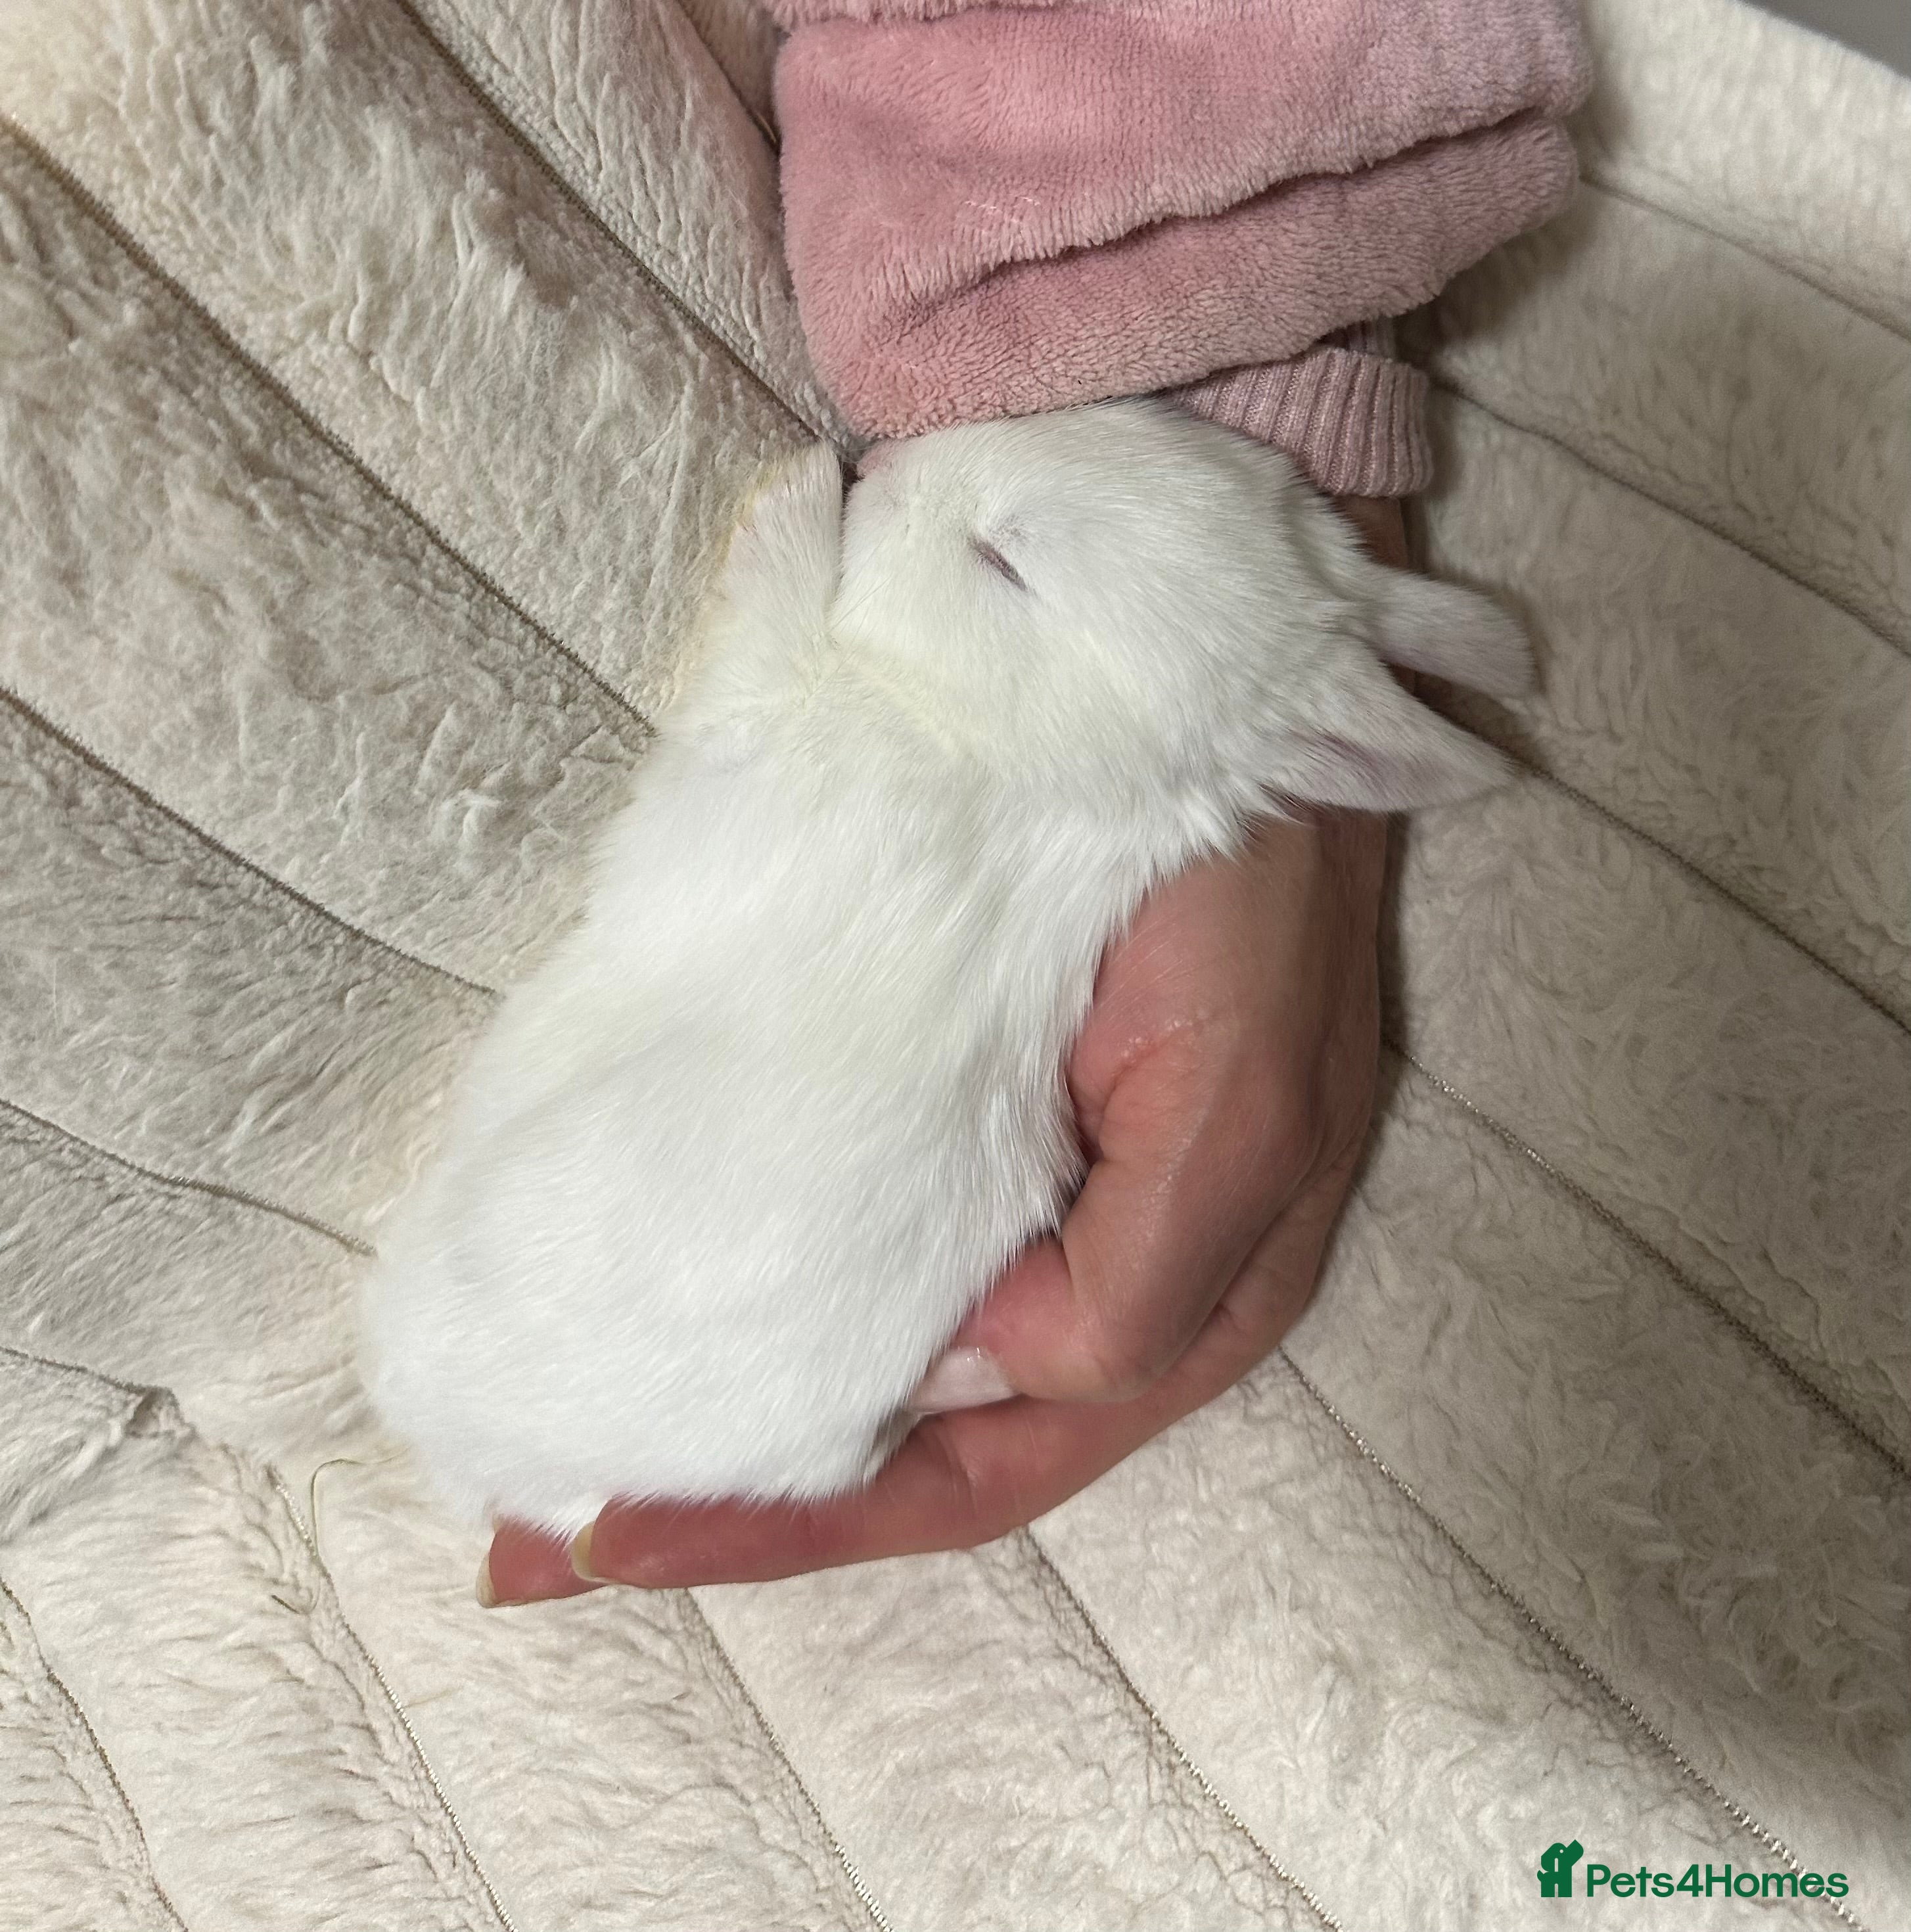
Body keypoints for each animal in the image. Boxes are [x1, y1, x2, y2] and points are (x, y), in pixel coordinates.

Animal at [361, 397, 1532, 1535]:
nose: (879, 464)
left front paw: (793, 492)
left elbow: (758, 653)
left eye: (1002, 563)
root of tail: (479, 1460)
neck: (996, 752)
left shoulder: (761, 740)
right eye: (1135, 411)